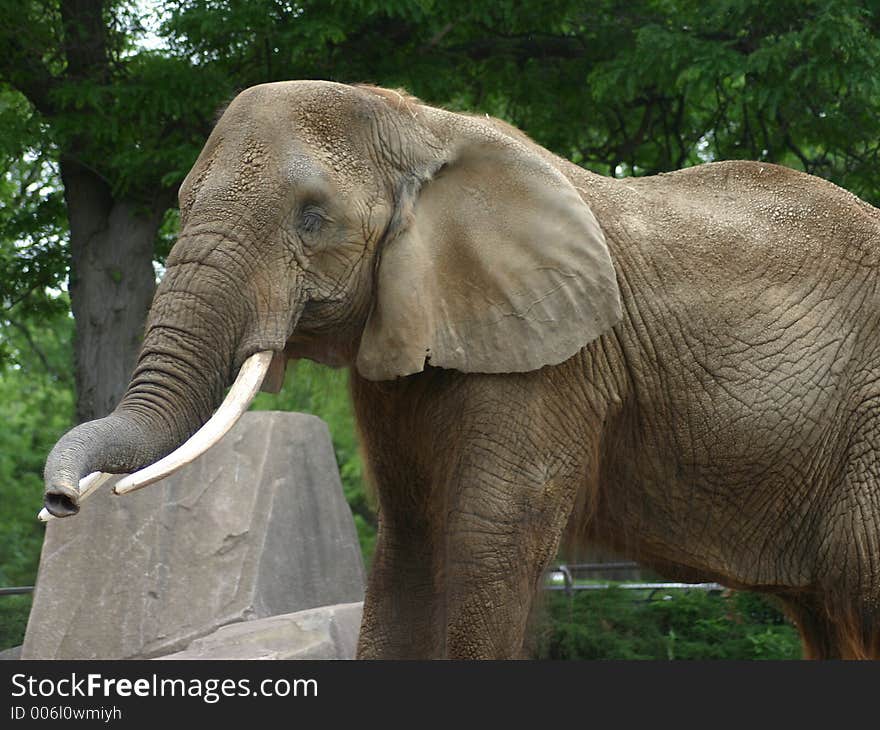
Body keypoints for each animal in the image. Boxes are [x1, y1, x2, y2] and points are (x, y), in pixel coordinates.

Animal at [43, 81, 880, 660]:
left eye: (313, 217)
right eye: (182, 201)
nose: (61, 501)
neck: (419, 123)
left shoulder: (552, 357)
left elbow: (484, 539)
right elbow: (410, 545)